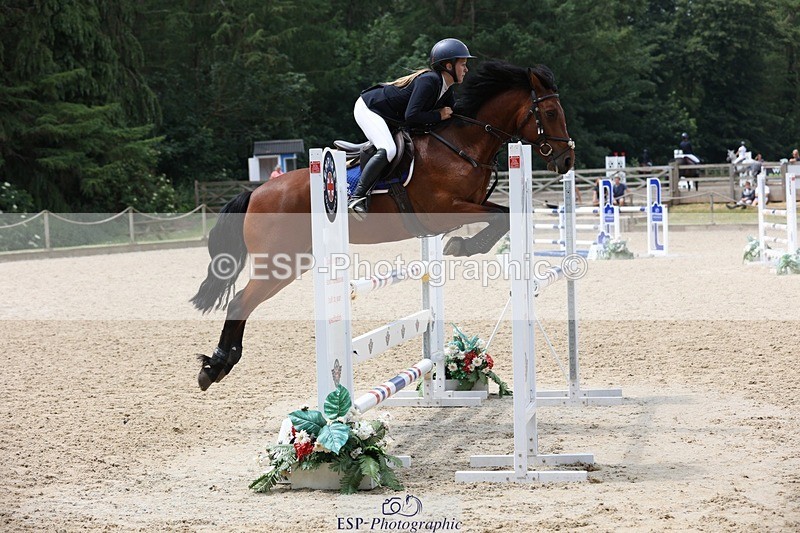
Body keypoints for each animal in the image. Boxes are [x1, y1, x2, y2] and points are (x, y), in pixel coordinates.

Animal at [189, 61, 575, 391]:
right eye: (551, 113)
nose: (567, 160)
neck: (462, 145)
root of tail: (256, 193)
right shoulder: (445, 209)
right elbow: (501, 216)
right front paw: (462, 246)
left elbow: (503, 215)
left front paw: (462, 246)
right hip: (275, 262)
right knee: (239, 301)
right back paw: (214, 366)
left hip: (292, 262)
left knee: (244, 303)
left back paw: (220, 364)